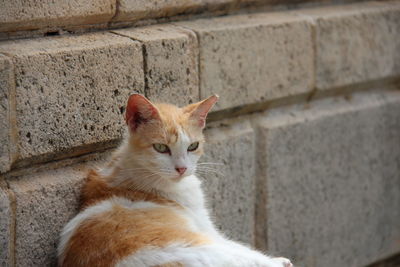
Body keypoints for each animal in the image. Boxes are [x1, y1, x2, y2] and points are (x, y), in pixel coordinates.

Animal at [57, 94, 294, 267]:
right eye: (161, 148)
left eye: (193, 146)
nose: (182, 168)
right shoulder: (206, 228)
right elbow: (246, 249)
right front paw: (278, 260)